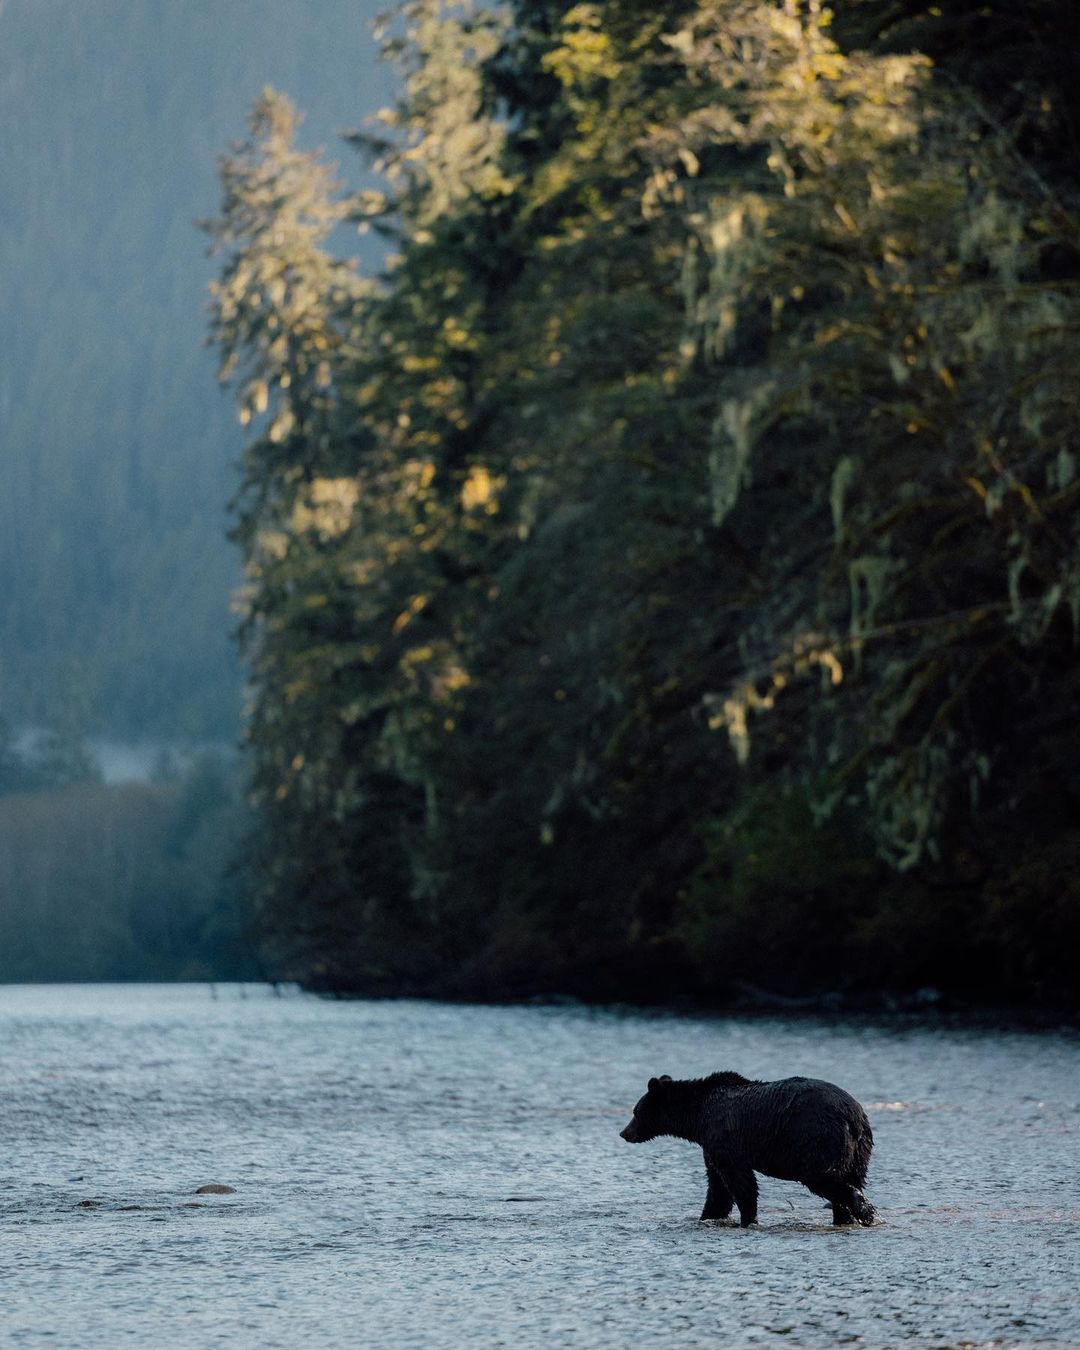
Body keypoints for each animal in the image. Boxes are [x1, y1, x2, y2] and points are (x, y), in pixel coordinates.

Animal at [615, 1069, 874, 1231]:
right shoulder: (711, 1146)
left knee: (822, 1177)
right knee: (852, 1179)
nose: (624, 1133)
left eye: (635, 1111)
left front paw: (748, 1218)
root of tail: (853, 1116)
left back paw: (866, 1210)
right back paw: (847, 1218)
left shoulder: (724, 1138)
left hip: (816, 1138)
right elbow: (717, 1187)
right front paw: (708, 1215)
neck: (697, 1117)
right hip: (860, 1151)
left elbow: (740, 1182)